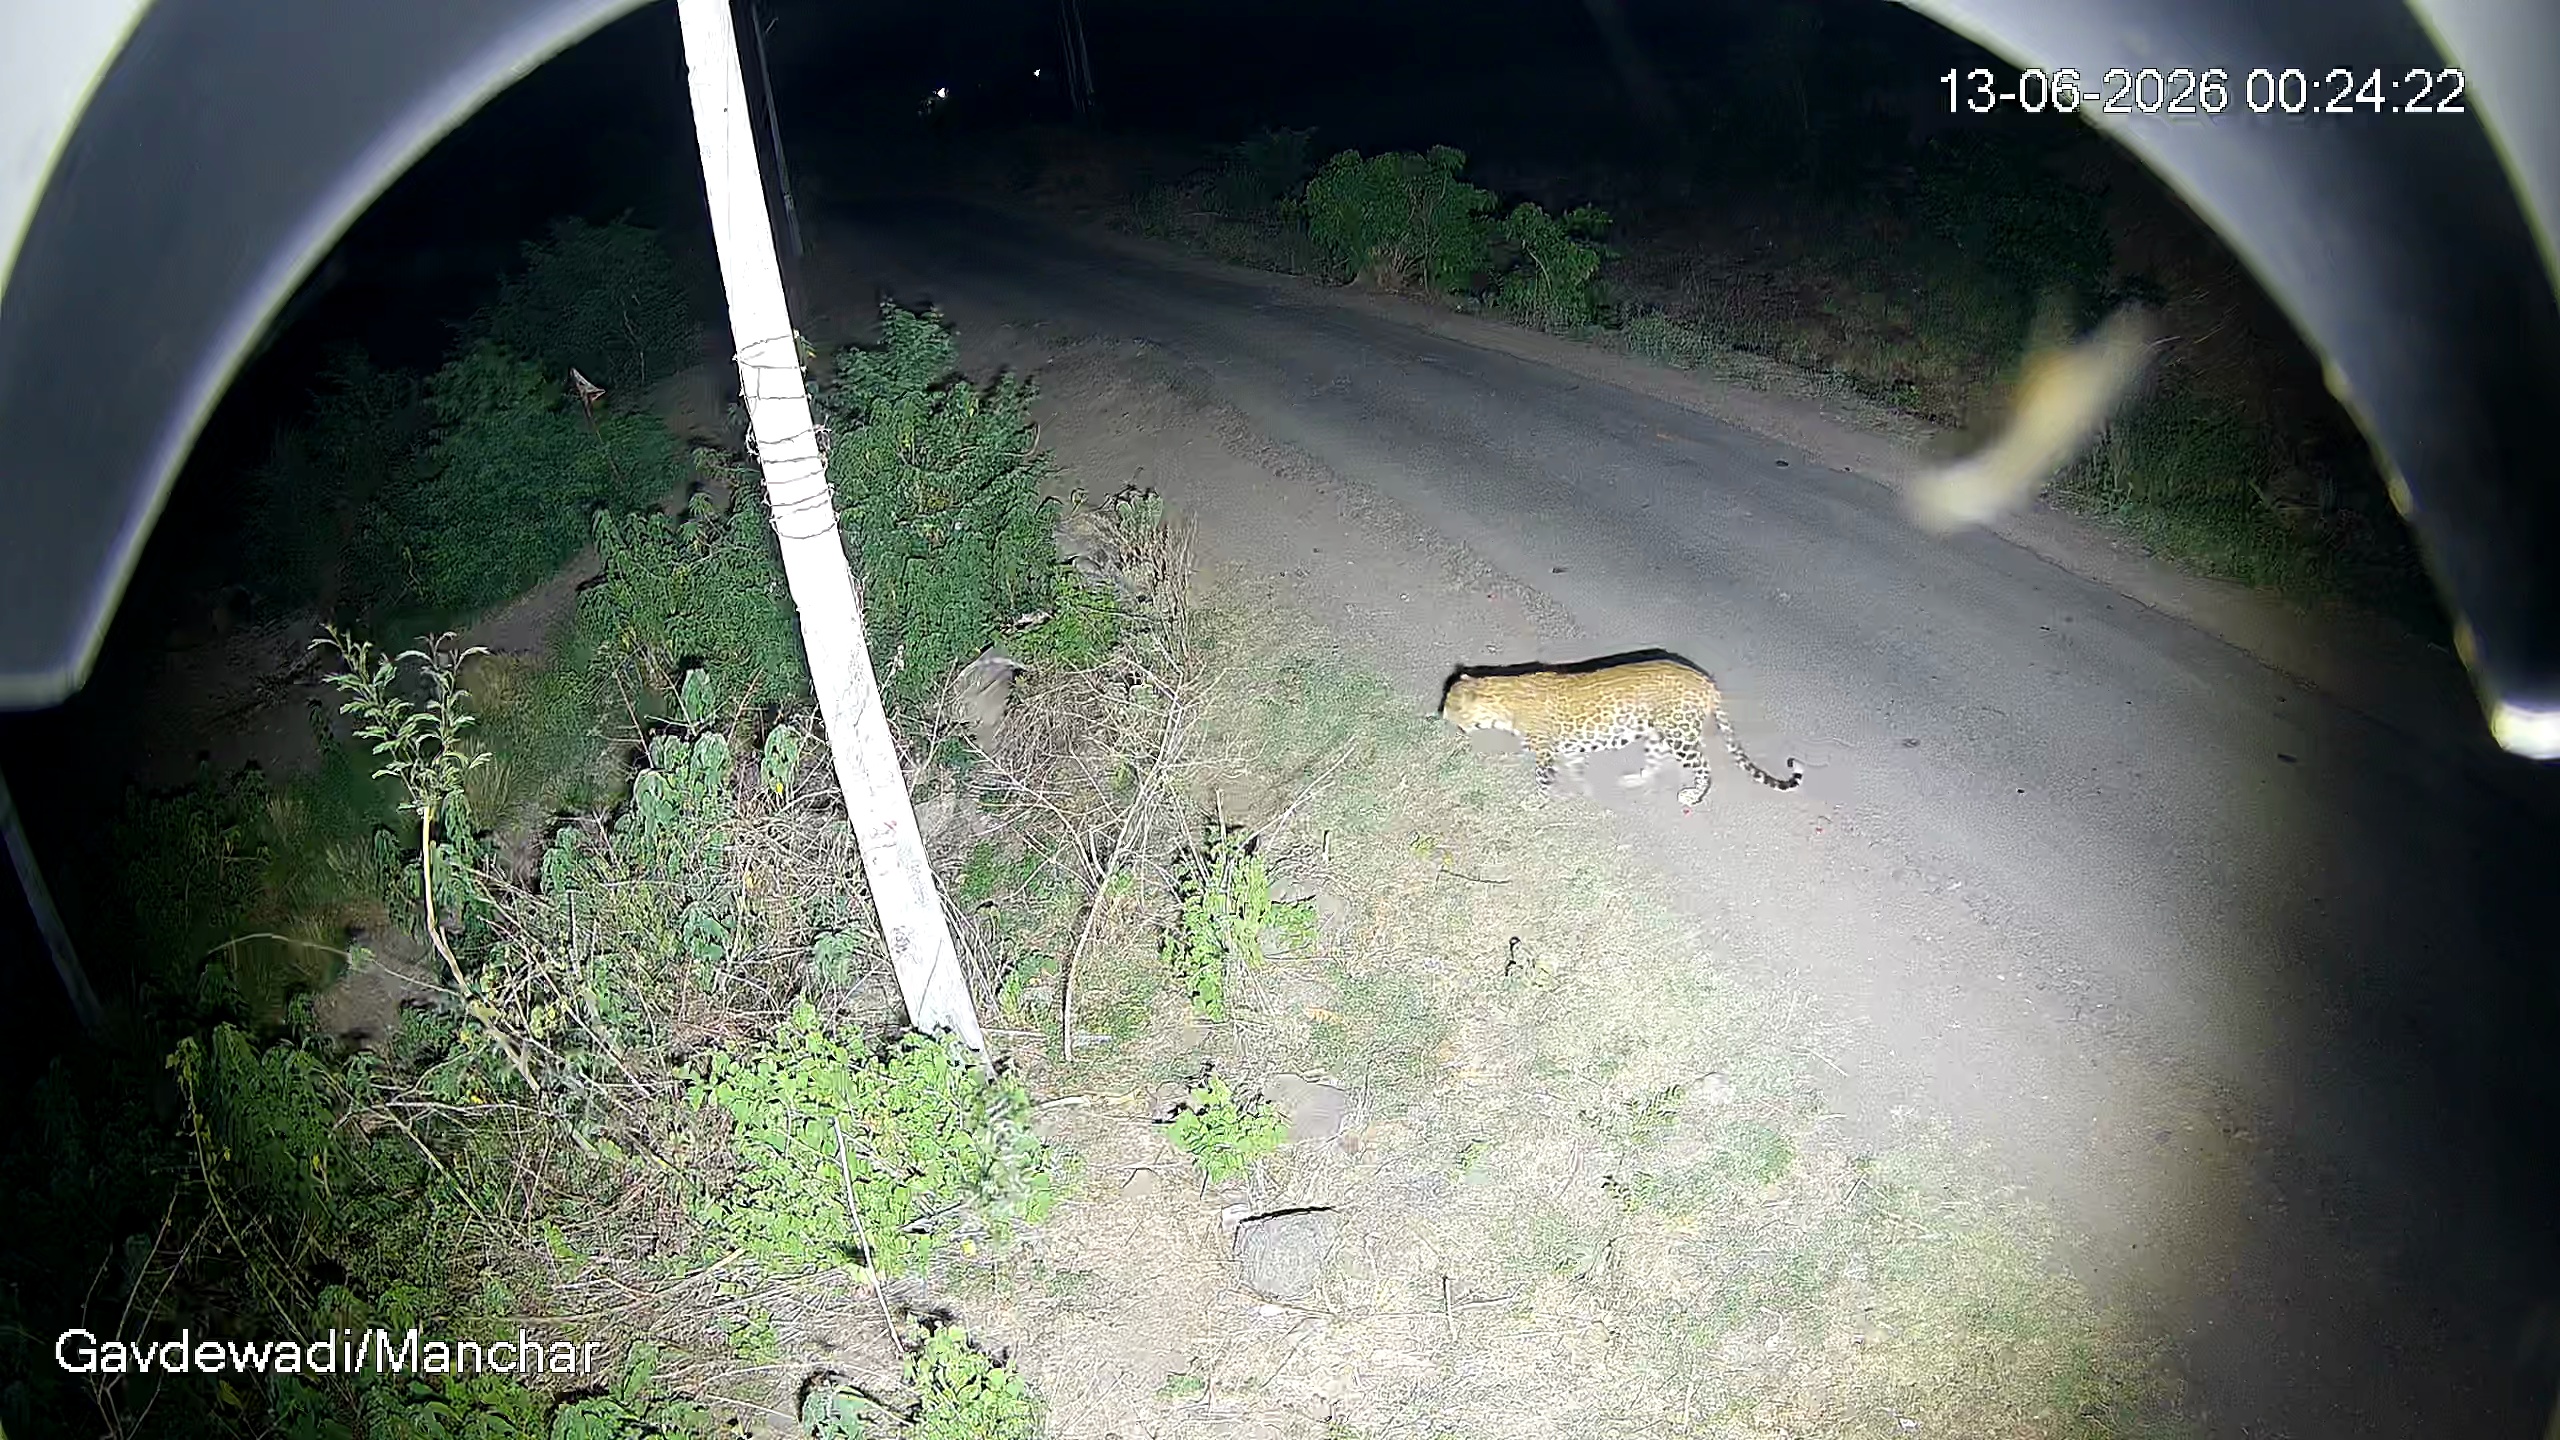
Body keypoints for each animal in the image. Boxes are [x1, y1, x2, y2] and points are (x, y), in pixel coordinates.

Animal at [1439, 658, 1803, 807]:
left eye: (1452, 706)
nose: (1440, 714)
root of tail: (1707, 683)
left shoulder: (1545, 751)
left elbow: (1543, 779)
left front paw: (1539, 801)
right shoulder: (1569, 748)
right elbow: (1576, 768)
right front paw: (1583, 790)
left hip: (1680, 734)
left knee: (1704, 767)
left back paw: (1692, 796)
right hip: (1658, 733)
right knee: (1656, 761)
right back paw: (1635, 779)